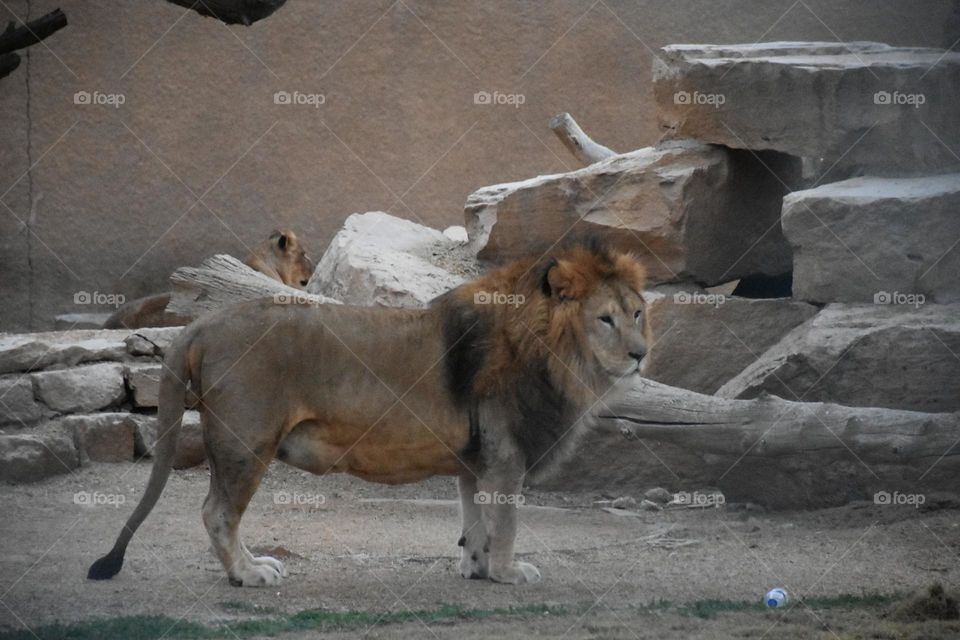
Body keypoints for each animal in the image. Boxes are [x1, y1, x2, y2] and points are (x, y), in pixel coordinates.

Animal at [88, 241, 648, 586]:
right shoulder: (506, 454)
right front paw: (510, 574)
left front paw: (478, 569)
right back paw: (249, 574)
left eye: (638, 312)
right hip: (245, 442)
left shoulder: (478, 457)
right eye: (605, 319)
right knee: (217, 513)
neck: (557, 355)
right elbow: (505, 522)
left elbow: (476, 519)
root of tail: (203, 322)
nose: (641, 354)